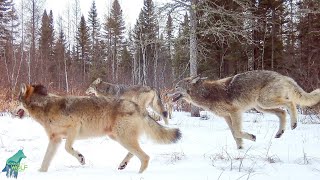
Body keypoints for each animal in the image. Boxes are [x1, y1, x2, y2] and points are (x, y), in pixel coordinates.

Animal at [13, 84, 181, 173]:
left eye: (17, 101)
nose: (13, 111)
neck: (45, 106)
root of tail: (137, 107)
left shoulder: (73, 128)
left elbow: (69, 148)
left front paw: (81, 158)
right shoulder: (55, 139)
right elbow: (45, 161)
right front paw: (40, 173)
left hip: (123, 138)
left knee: (145, 157)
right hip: (118, 138)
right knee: (136, 153)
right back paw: (123, 165)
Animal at [171, 70, 320, 149]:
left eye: (177, 87)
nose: (167, 93)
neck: (206, 94)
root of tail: (284, 76)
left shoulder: (235, 112)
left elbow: (237, 132)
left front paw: (251, 138)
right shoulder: (227, 117)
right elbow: (235, 134)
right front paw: (240, 149)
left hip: (263, 102)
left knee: (290, 104)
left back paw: (294, 124)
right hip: (261, 106)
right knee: (282, 112)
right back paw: (279, 133)